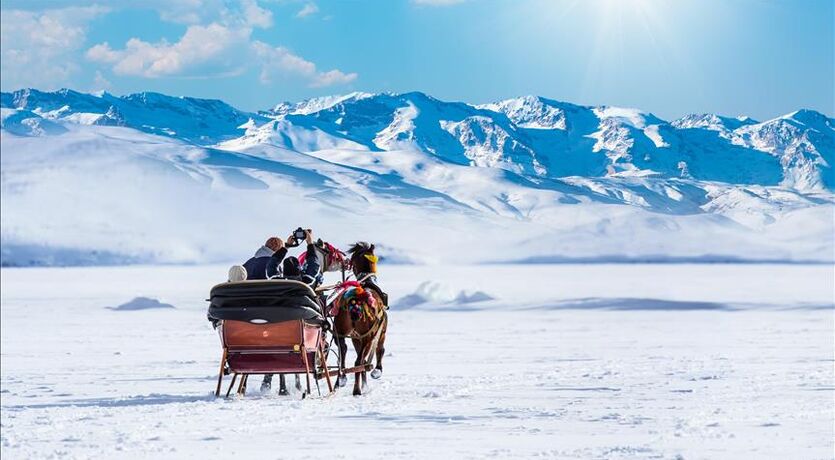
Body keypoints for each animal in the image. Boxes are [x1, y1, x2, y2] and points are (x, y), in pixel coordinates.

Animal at [332, 243, 390, 398]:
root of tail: (355, 300)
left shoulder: (355, 337)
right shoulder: (380, 332)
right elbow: (380, 350)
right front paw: (376, 371)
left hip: (340, 332)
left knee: (343, 353)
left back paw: (341, 378)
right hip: (368, 336)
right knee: (359, 361)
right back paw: (357, 389)